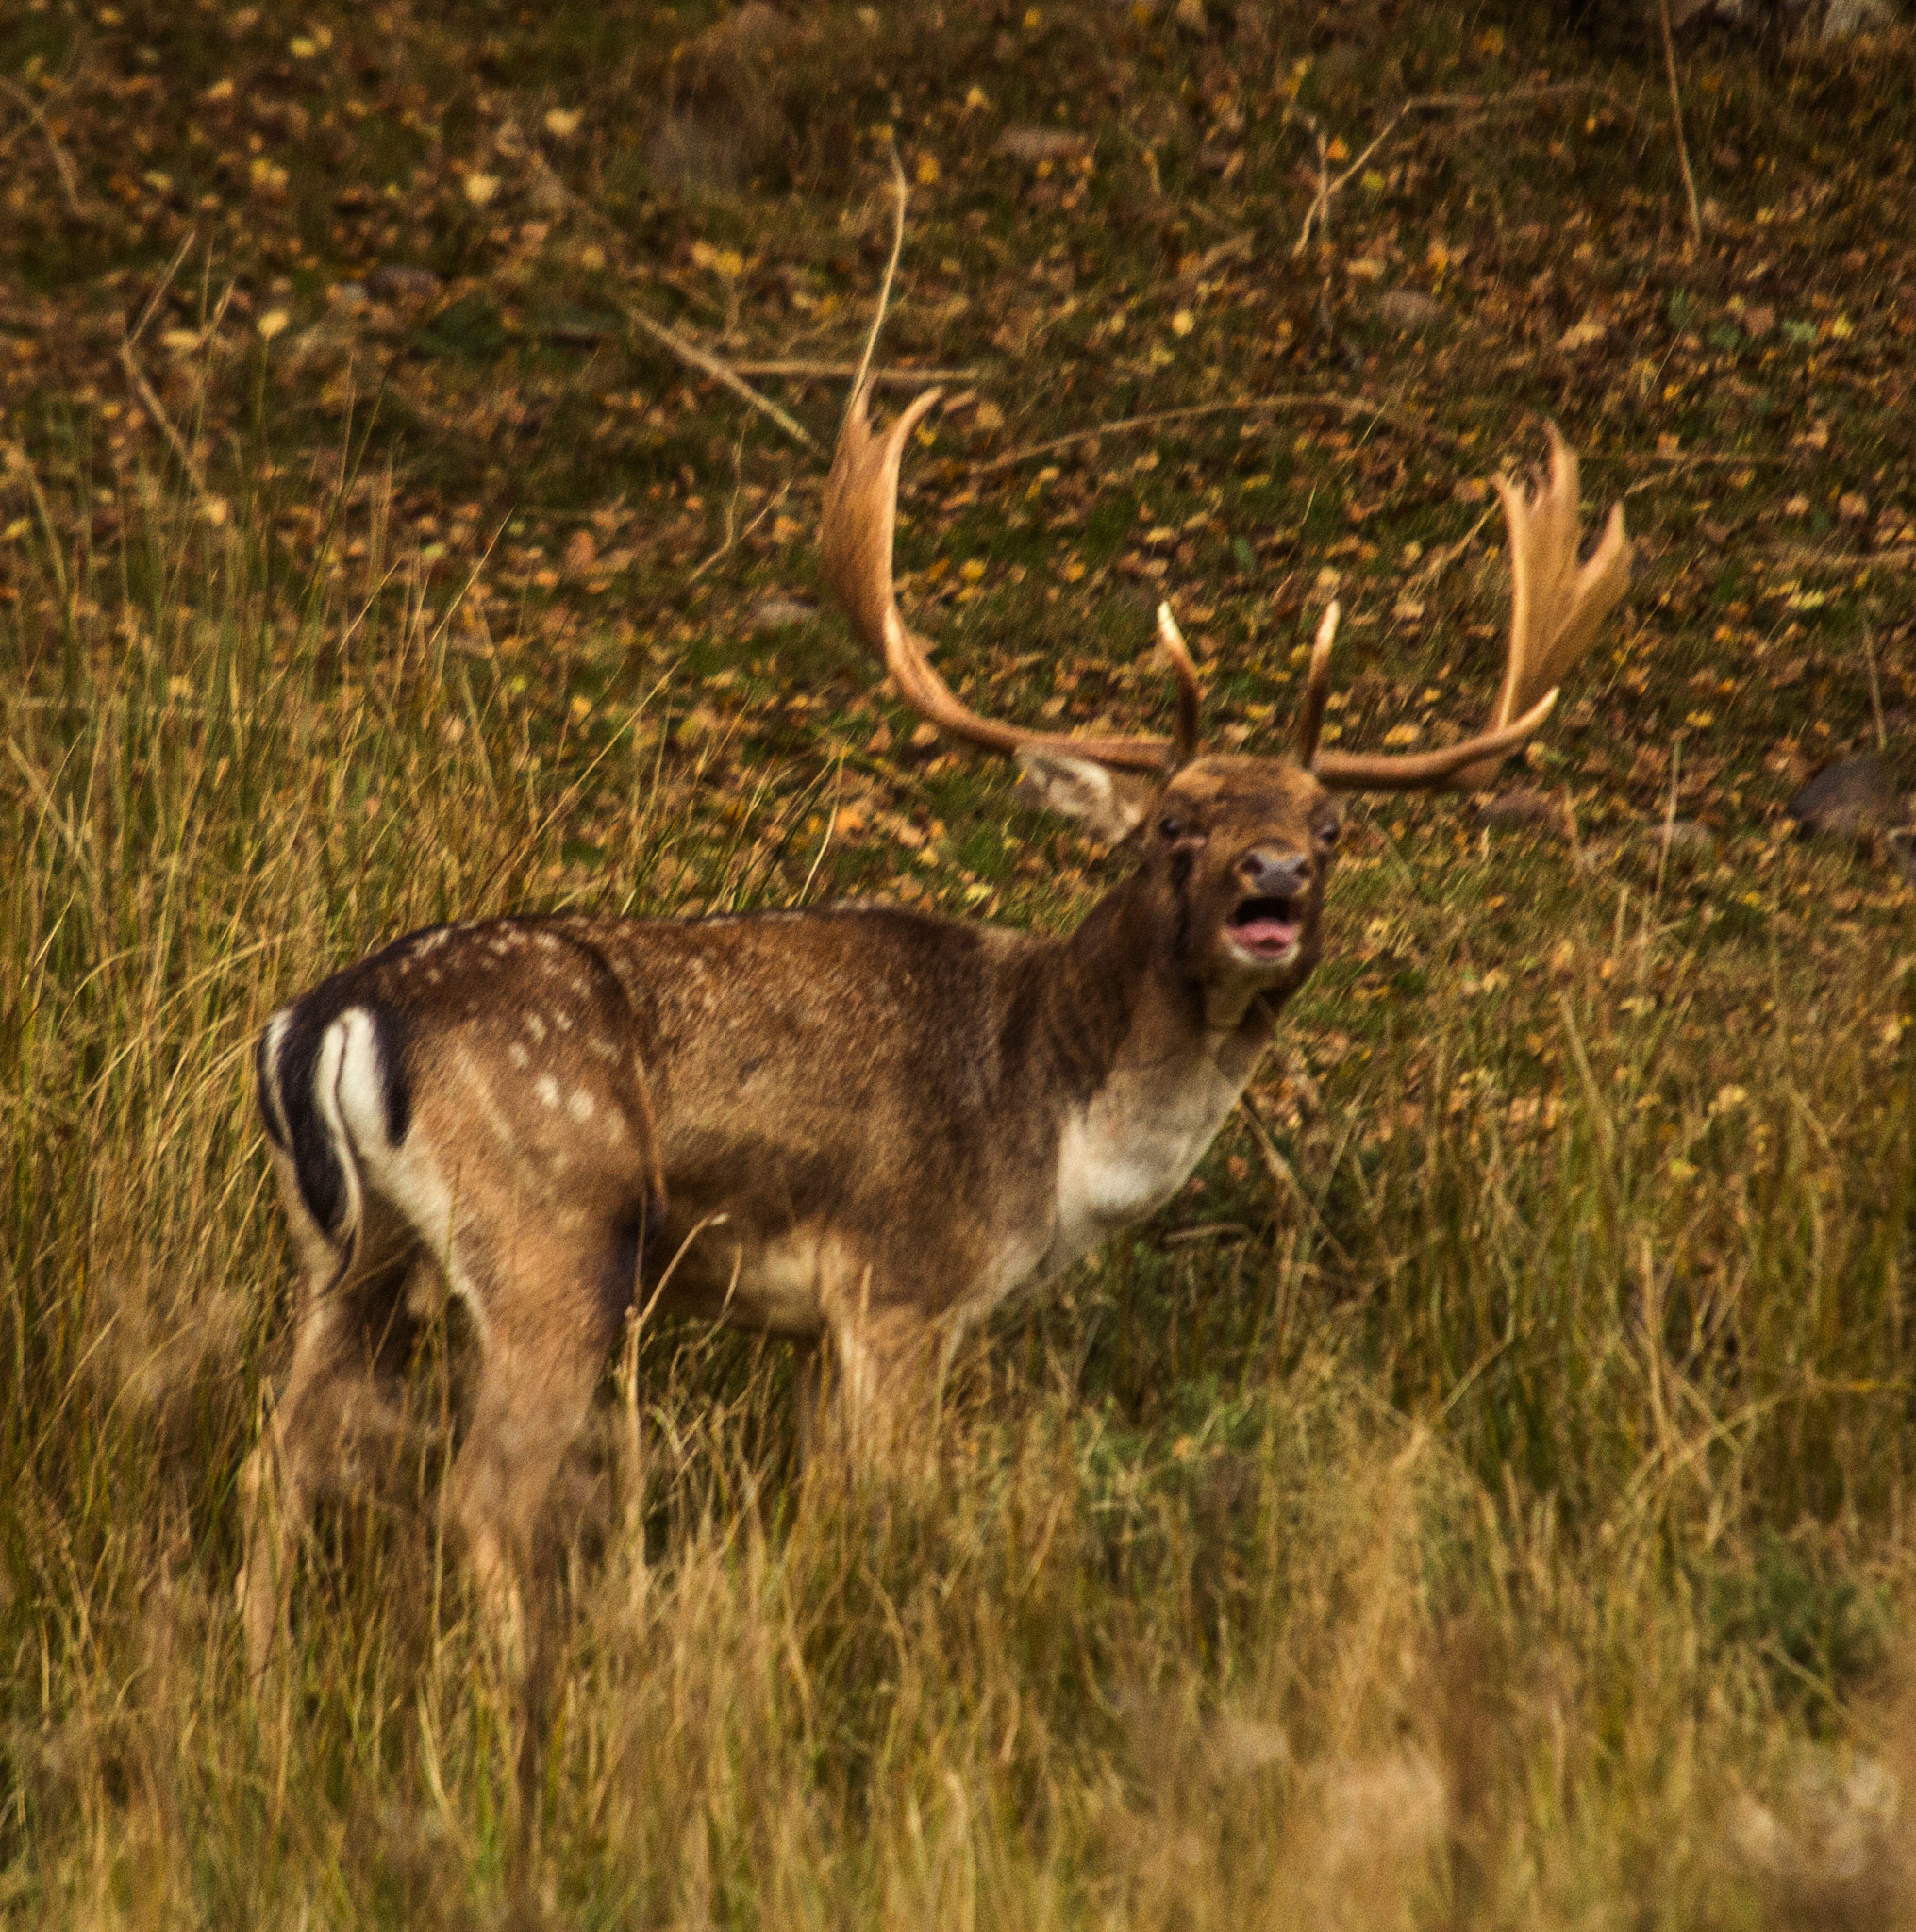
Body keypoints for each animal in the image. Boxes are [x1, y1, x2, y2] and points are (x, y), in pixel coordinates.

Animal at [238, 368, 1632, 1680]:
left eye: (1331, 824)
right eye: (1172, 823)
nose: (1273, 881)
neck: (1051, 1120)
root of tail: (329, 1017)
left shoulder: (819, 1323)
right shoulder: (901, 1282)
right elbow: (892, 1511)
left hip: (346, 1251)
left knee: (280, 1452)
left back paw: (258, 1669)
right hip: (551, 1230)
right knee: (481, 1489)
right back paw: (520, 1688)